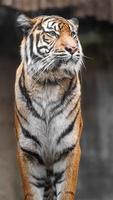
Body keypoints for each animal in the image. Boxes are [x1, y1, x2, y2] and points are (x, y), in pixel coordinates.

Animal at [14, 14, 83, 200]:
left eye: (73, 34)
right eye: (52, 33)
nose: (73, 49)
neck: (49, 84)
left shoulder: (69, 148)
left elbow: (66, 190)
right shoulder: (28, 151)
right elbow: (31, 191)